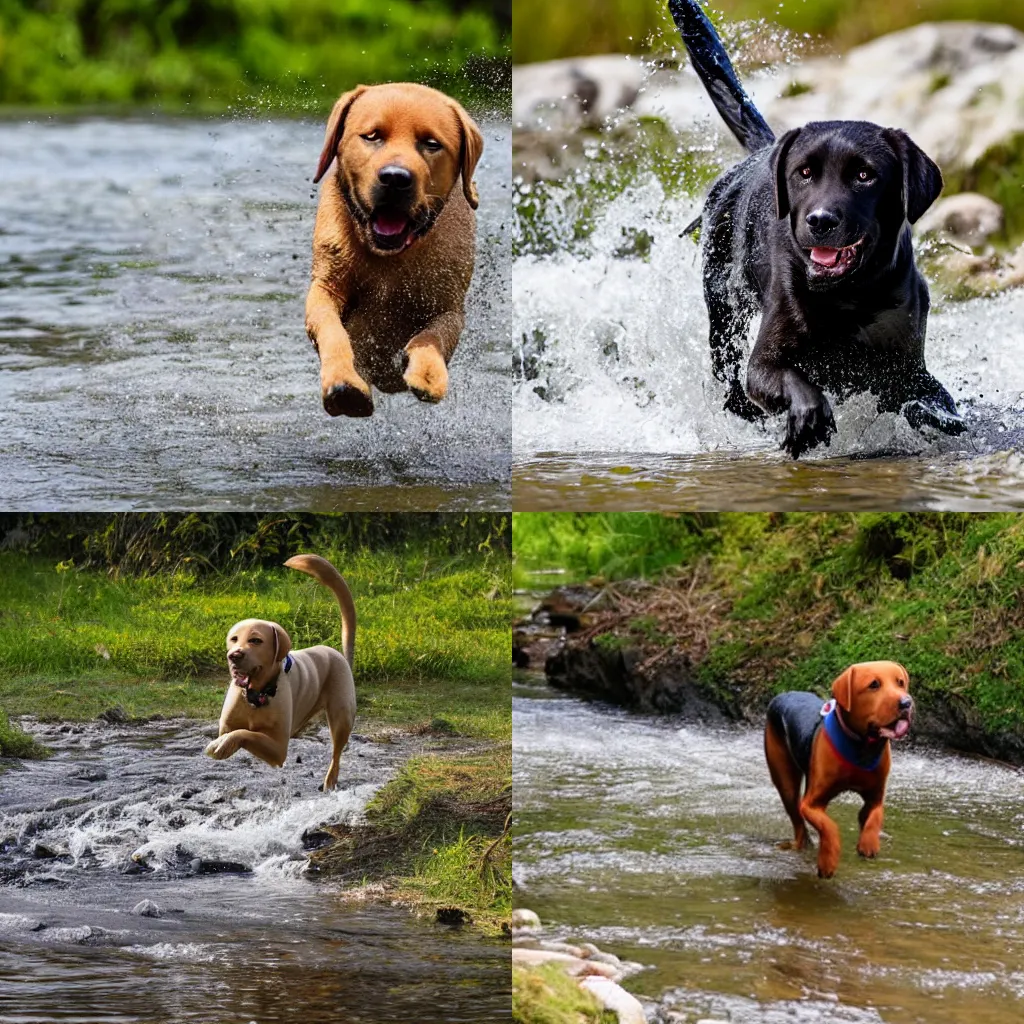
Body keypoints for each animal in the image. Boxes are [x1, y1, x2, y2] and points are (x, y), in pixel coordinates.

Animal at [303, 80, 483, 415]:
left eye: (431, 143)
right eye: (372, 136)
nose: (396, 178)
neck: (389, 258)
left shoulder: (450, 308)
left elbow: (434, 335)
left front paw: (427, 373)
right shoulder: (325, 287)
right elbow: (331, 329)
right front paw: (343, 381)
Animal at [765, 667, 917, 876]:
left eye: (900, 682)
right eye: (874, 684)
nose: (906, 703)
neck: (862, 745)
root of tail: (783, 694)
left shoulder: (875, 796)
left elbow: (874, 816)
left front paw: (868, 844)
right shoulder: (811, 804)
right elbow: (829, 826)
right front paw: (827, 862)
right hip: (784, 780)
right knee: (797, 820)